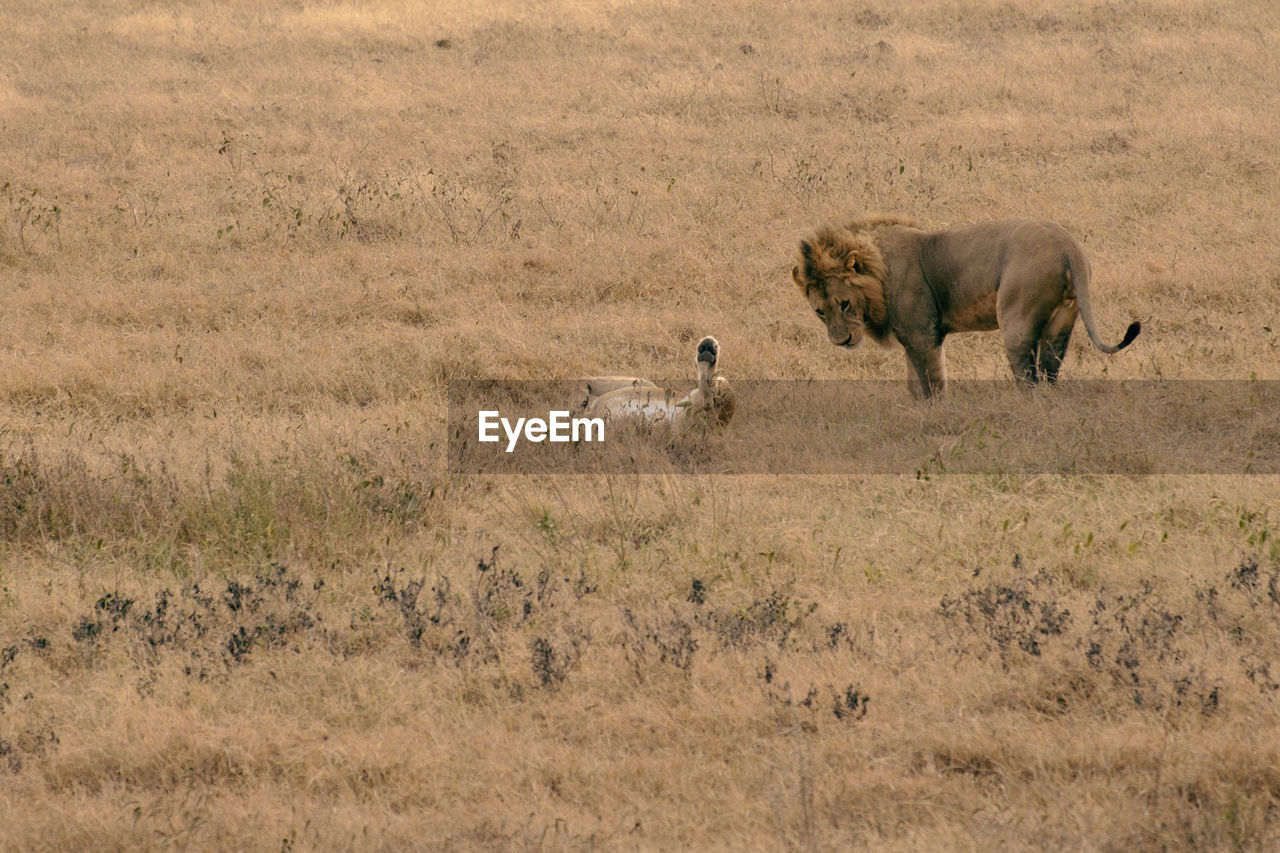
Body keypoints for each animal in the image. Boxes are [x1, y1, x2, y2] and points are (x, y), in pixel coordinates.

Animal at [788, 213, 1141, 397]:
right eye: (820, 311)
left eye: (845, 304)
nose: (841, 341)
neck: (879, 271)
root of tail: (1067, 244)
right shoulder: (911, 340)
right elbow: (914, 385)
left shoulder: (922, 336)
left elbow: (931, 384)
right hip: (1062, 321)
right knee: (1049, 371)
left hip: (1017, 319)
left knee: (1028, 376)